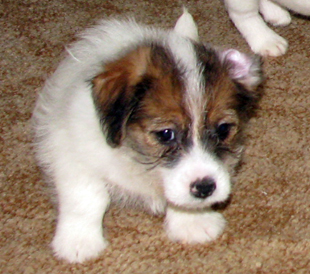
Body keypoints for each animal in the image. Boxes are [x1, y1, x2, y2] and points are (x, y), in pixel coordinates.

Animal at [33, 10, 262, 264]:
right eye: (165, 134)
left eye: (223, 129)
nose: (204, 188)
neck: (133, 156)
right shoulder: (71, 153)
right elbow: (87, 199)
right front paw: (78, 242)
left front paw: (192, 222)